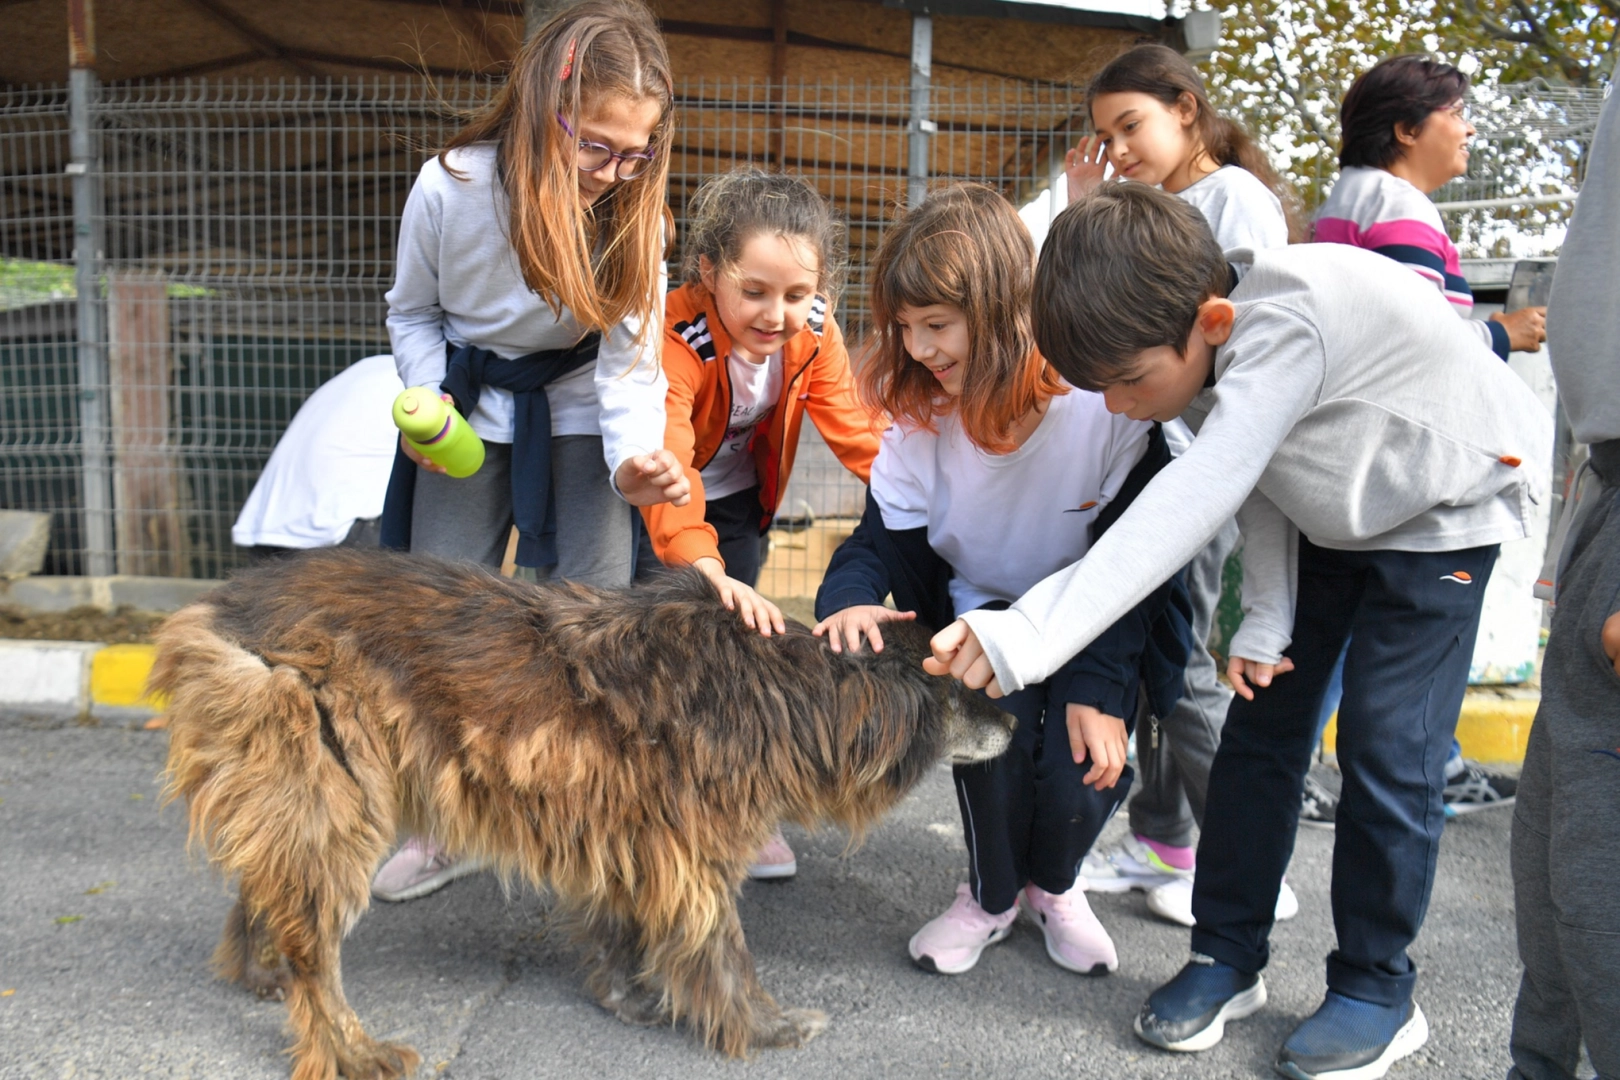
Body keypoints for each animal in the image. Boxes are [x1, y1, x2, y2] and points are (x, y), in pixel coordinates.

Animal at [154, 553, 1010, 1075]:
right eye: (966, 688)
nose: (1014, 723)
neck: (785, 689)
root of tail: (218, 607)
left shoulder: (629, 833)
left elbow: (621, 926)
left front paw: (627, 997)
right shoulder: (689, 851)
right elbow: (721, 950)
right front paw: (763, 1029)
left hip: (313, 793)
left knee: (269, 888)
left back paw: (257, 970)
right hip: (335, 792)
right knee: (315, 947)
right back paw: (347, 1046)